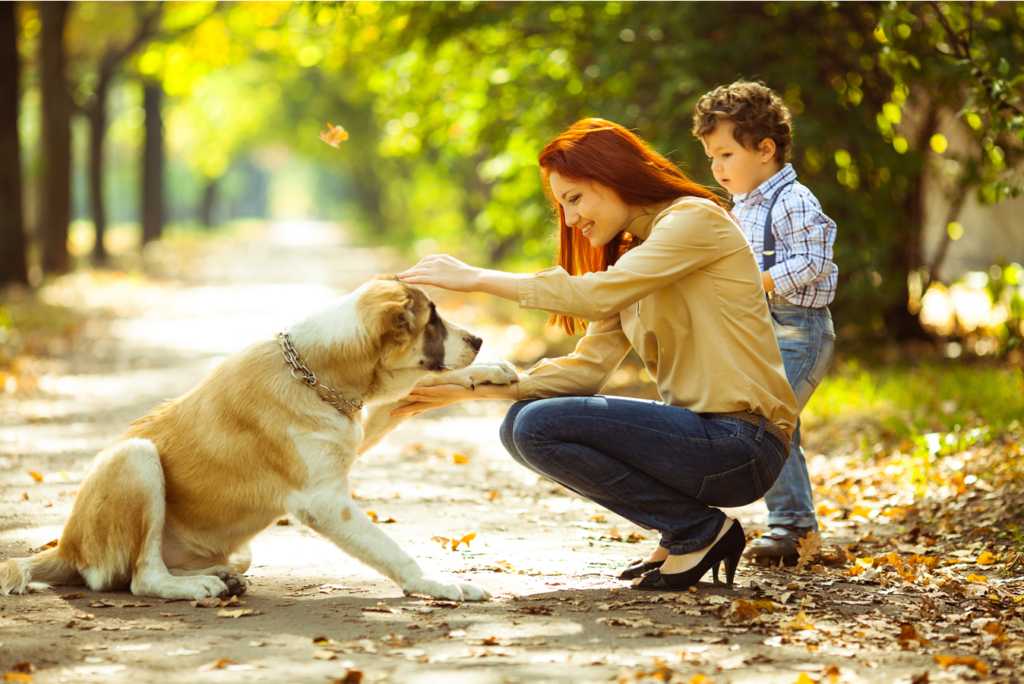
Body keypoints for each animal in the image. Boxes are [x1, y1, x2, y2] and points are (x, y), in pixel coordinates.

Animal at [0, 274, 512, 602]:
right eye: (433, 320)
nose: (480, 341)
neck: (311, 372)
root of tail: (64, 547)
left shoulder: (354, 427)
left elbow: (411, 391)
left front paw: (490, 372)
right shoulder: (325, 501)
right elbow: (393, 551)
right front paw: (439, 583)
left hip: (236, 547)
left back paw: (221, 575)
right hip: (134, 457)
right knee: (140, 578)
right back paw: (195, 587)